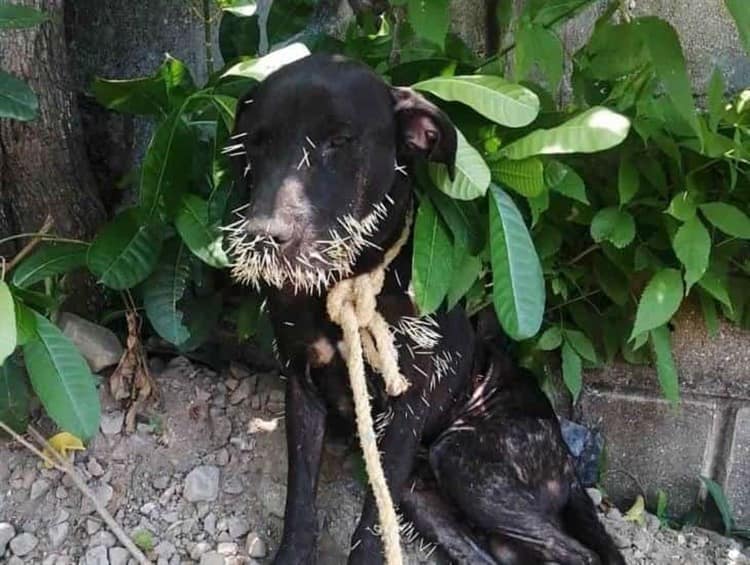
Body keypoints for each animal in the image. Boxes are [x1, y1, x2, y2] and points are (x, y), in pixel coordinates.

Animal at [226, 54, 624, 564]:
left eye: (339, 142)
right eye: (257, 143)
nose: (262, 235)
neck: (350, 286)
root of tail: (568, 463)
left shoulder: (406, 410)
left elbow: (373, 527)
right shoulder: (302, 386)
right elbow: (300, 503)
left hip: (463, 459)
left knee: (578, 553)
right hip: (425, 496)